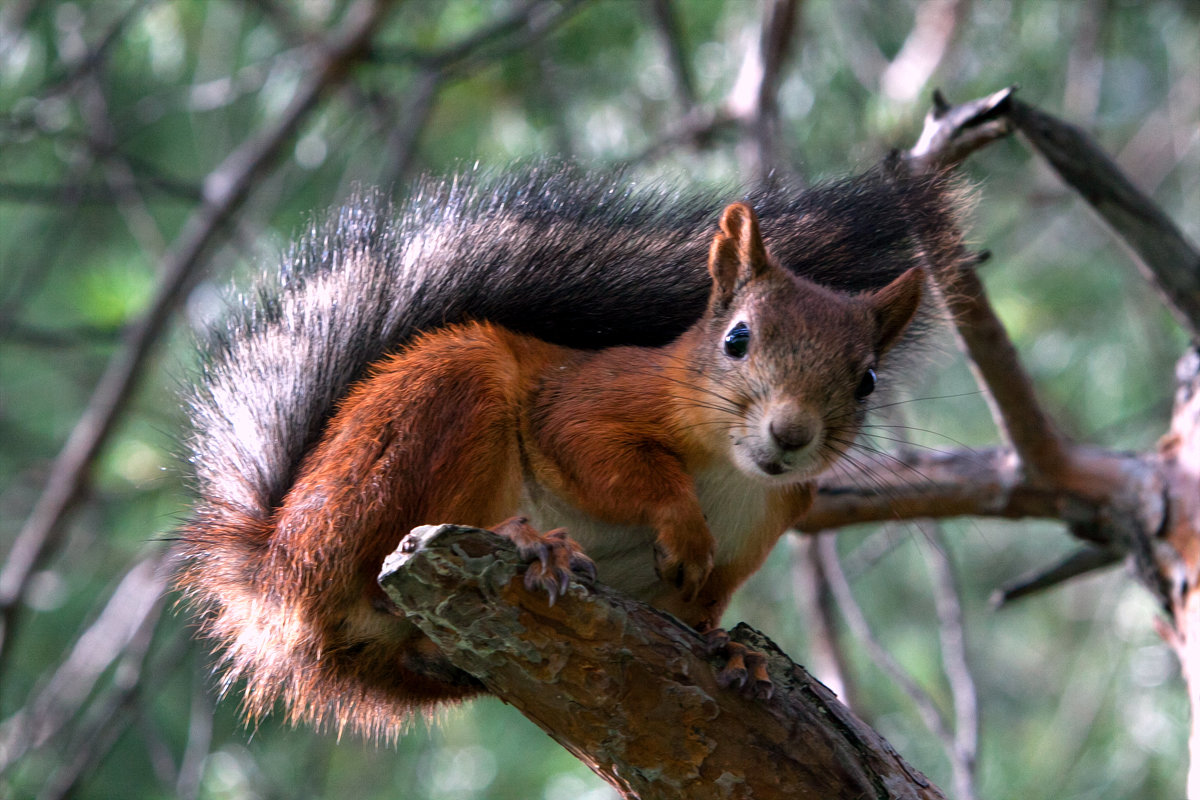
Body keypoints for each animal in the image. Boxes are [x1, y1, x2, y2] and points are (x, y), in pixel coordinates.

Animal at [175, 160, 964, 738]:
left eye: (866, 380)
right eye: (737, 338)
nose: (790, 434)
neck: (731, 474)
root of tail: (277, 567)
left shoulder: (754, 533)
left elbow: (701, 614)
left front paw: (737, 647)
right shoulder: (590, 400)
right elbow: (603, 458)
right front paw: (680, 523)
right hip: (428, 422)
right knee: (379, 564)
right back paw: (528, 540)